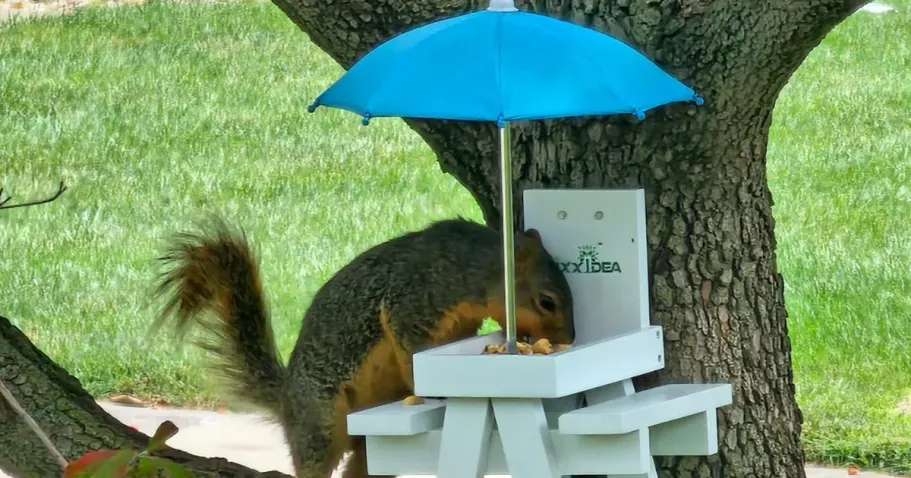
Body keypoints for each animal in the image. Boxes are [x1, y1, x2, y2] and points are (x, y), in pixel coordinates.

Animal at [152, 216, 574, 478]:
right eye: (547, 301)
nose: (569, 338)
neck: (473, 267)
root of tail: (286, 398)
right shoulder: (412, 303)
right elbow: (413, 353)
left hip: (372, 449)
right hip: (320, 418)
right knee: (313, 461)